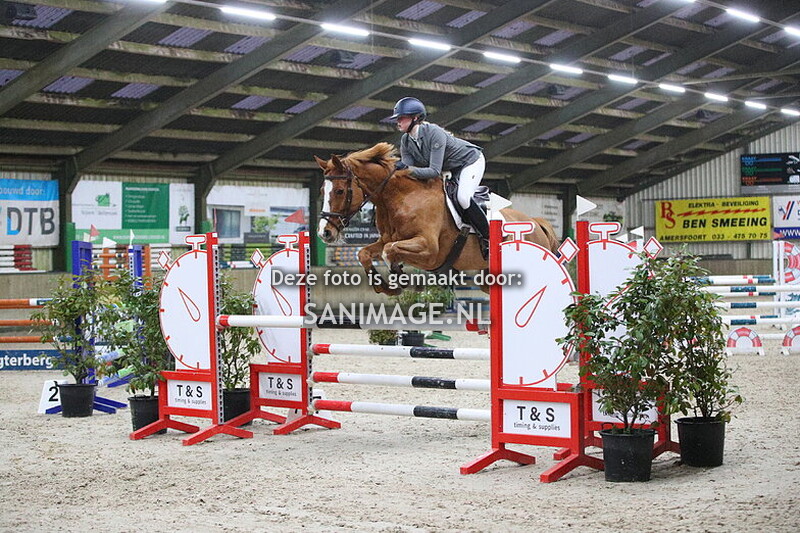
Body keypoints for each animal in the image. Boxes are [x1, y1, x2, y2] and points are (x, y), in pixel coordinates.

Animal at [314, 142, 559, 296]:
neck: (400, 198)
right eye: (321, 190)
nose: (324, 232)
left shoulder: (429, 250)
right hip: (487, 278)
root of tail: (536, 223)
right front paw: (386, 287)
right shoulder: (387, 239)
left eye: (339, 191)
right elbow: (365, 253)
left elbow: (389, 251)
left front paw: (399, 278)